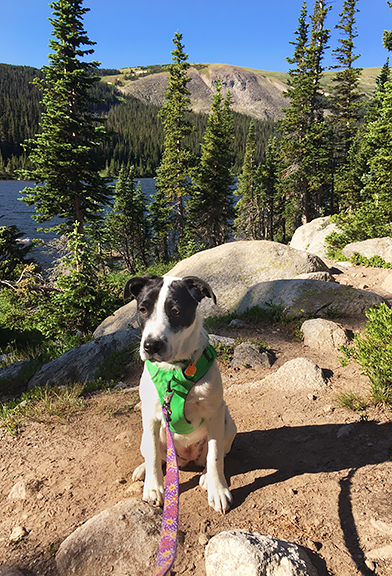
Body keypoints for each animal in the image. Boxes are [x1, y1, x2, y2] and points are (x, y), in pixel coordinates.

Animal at [124, 274, 237, 512]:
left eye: (176, 311)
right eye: (143, 309)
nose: (151, 346)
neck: (174, 372)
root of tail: (186, 458)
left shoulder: (214, 413)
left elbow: (215, 454)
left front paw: (218, 490)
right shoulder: (150, 417)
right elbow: (153, 453)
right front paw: (154, 488)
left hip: (228, 423)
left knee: (214, 453)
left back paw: (206, 476)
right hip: (146, 435)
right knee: (153, 453)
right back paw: (143, 469)